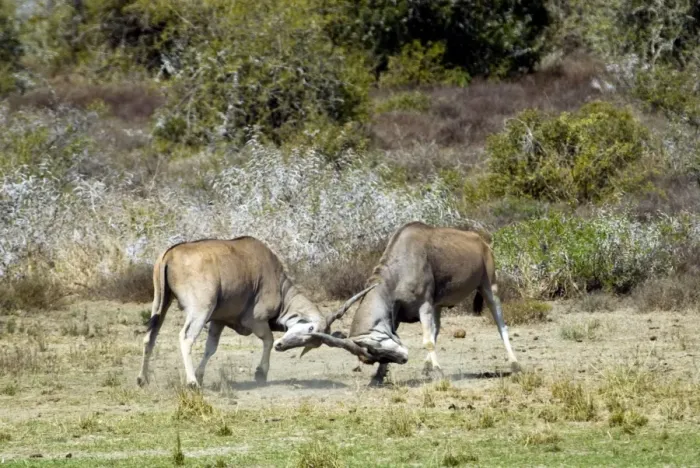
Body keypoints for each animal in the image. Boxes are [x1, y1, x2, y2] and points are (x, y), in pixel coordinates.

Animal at [136, 236, 367, 388]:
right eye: (310, 328)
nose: (282, 346)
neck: (278, 283)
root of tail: (171, 253)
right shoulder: (255, 321)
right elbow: (268, 340)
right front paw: (260, 373)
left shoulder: (218, 321)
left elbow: (211, 348)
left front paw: (201, 374)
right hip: (200, 310)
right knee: (185, 338)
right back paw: (191, 383)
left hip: (160, 304)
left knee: (150, 337)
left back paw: (142, 379)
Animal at [277, 222, 521, 386]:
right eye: (374, 354)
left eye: (375, 347)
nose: (403, 359)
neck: (399, 266)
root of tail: (482, 242)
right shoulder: (401, 314)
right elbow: (429, 336)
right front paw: (377, 378)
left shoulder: (424, 306)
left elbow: (427, 341)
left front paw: (439, 372)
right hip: (439, 306)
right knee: (437, 329)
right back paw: (426, 367)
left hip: (489, 287)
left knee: (500, 324)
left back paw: (515, 364)